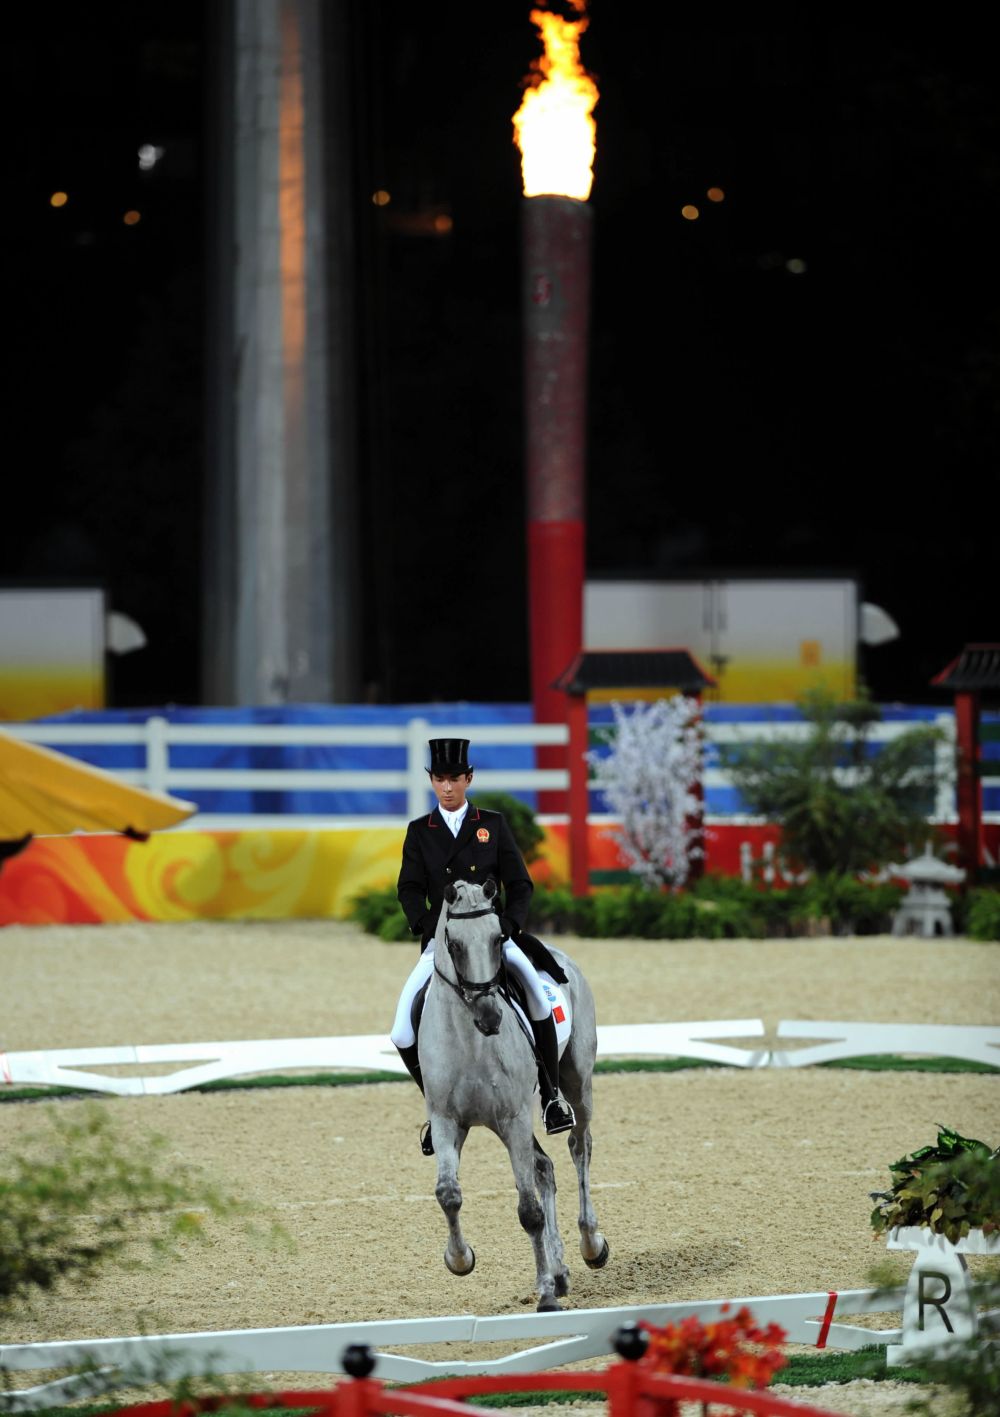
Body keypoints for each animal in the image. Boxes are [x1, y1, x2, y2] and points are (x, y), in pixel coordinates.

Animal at [413, 878, 606, 1309]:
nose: (490, 1017)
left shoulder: (513, 1118)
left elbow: (529, 1211)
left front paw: (546, 1295)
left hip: (576, 1081)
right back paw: (561, 1269)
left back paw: (591, 1244)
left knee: (579, 1146)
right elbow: (448, 1193)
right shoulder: (447, 1120)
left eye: (498, 938)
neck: (470, 1041)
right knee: (546, 1167)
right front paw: (459, 1259)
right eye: (453, 944)